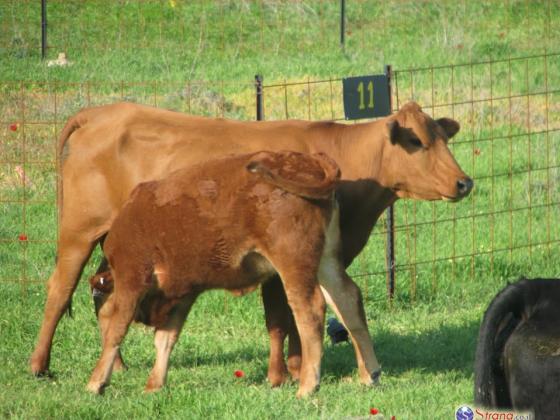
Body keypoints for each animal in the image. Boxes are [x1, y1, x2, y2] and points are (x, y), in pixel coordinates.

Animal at [86, 151, 342, 398]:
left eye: (101, 298)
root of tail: (310, 160)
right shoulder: (183, 293)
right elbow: (165, 338)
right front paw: (154, 385)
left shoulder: (132, 277)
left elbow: (117, 331)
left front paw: (95, 383)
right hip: (325, 262)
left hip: (293, 265)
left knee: (309, 310)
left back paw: (307, 387)